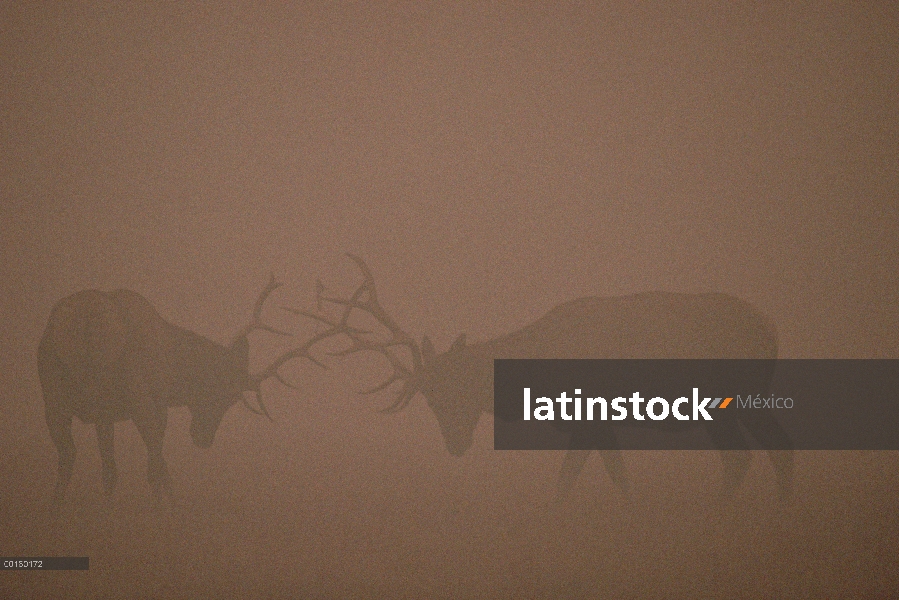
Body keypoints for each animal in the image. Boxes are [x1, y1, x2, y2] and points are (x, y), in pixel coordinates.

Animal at [37, 278, 342, 506]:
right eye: (227, 395)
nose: (203, 439)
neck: (176, 371)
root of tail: (81, 321)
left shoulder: (108, 415)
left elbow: (111, 467)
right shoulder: (156, 402)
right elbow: (156, 460)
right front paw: (169, 504)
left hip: (53, 396)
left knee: (67, 456)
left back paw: (55, 509)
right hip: (130, 394)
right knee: (146, 458)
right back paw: (159, 507)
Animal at [304, 255, 796, 504]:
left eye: (456, 390)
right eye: (429, 399)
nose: (456, 446)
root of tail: (771, 326)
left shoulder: (591, 413)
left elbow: (574, 478)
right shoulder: (595, 422)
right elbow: (603, 474)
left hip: (733, 394)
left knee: (753, 452)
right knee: (762, 449)